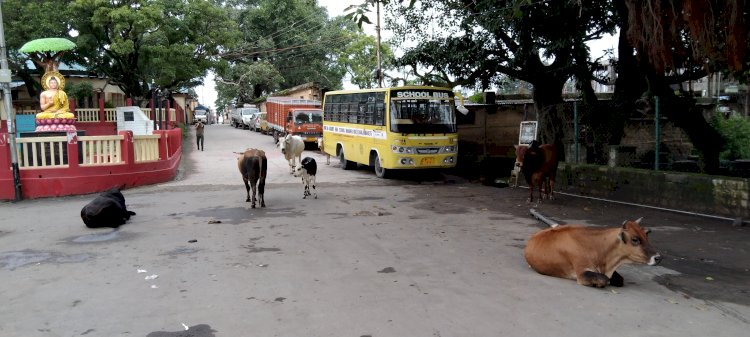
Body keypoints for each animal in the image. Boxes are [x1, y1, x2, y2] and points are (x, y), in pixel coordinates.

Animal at [524, 218, 660, 286]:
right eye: (635, 239)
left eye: (646, 235)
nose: (658, 257)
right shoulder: (582, 273)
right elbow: (604, 279)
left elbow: (619, 280)